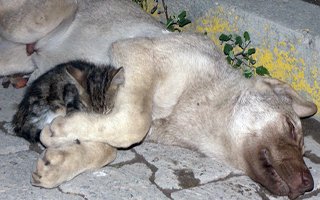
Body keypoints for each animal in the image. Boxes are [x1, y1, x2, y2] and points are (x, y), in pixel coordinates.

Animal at [0, 0, 316, 199]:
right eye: (290, 127)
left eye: (303, 145)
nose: (309, 185)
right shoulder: (135, 53)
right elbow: (134, 124)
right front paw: (61, 131)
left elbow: (108, 147)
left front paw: (61, 161)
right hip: (29, 23)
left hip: (16, 57)